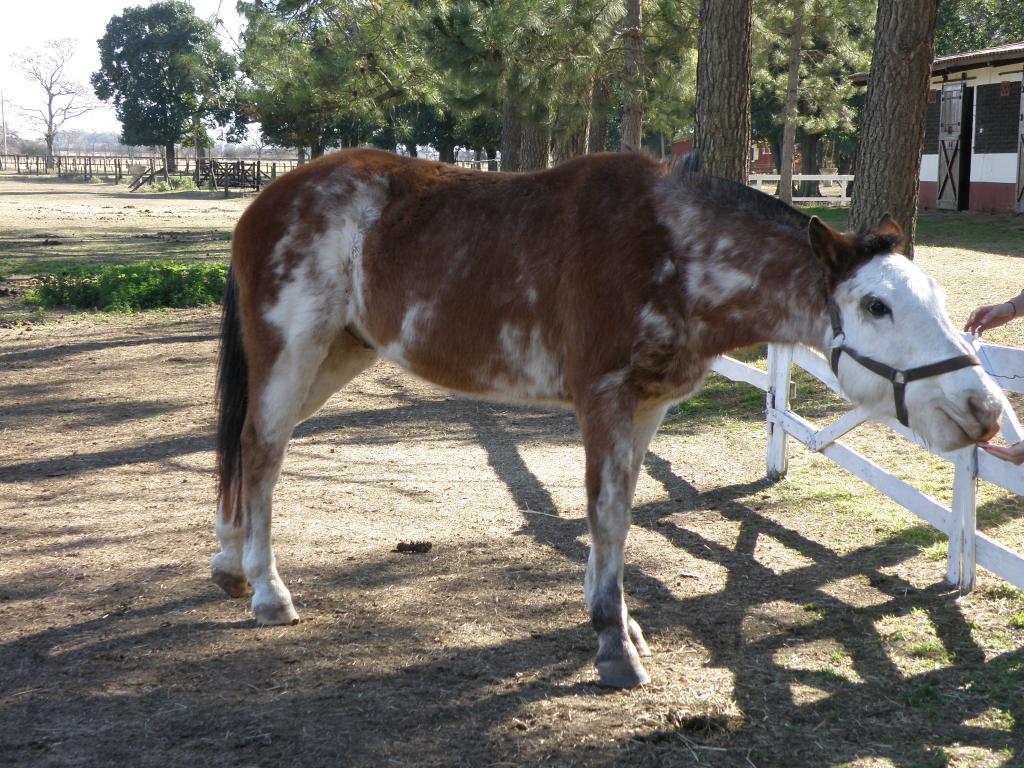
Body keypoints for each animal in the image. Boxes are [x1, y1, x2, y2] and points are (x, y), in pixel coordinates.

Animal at [214, 147, 999, 688]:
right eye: (876, 305)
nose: (984, 408)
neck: (672, 252)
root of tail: (267, 199)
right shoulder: (605, 402)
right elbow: (607, 518)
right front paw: (614, 646)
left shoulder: (644, 410)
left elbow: (620, 515)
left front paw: (622, 627)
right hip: (292, 351)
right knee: (262, 449)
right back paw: (268, 591)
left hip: (338, 354)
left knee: (253, 448)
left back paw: (229, 567)